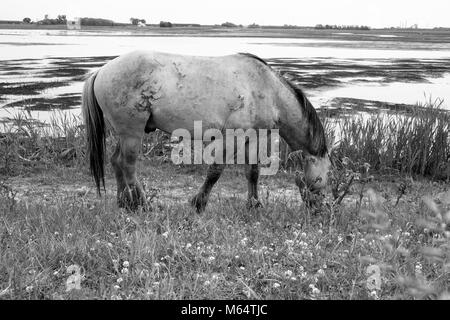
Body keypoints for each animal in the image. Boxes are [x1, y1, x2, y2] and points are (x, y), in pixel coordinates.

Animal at [82, 50, 330, 211]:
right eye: (321, 178)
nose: (318, 209)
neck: (267, 90)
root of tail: (102, 71)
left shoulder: (254, 138)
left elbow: (253, 173)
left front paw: (254, 204)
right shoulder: (232, 138)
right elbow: (215, 172)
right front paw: (198, 203)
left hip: (124, 133)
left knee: (116, 161)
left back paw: (124, 201)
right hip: (132, 133)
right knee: (128, 165)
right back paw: (142, 204)